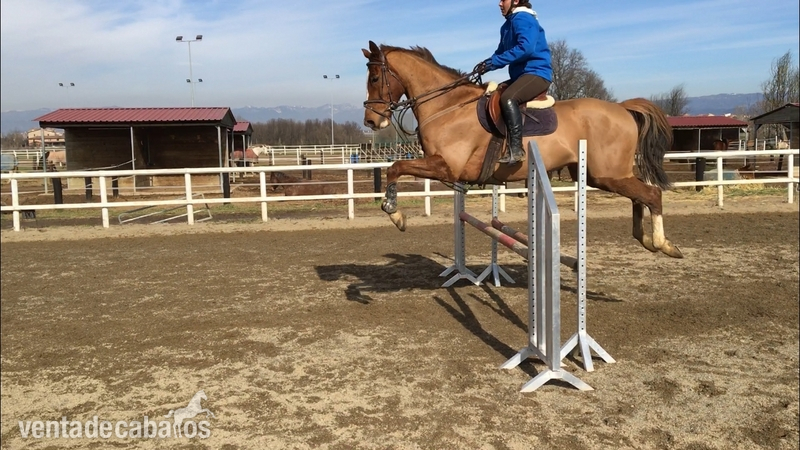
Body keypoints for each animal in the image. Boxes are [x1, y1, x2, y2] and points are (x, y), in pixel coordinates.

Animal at [362, 41, 682, 258]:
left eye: (375, 78)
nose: (371, 121)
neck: (447, 105)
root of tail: (623, 108)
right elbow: (395, 169)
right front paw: (395, 213)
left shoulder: (446, 167)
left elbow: (395, 168)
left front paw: (395, 214)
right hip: (602, 176)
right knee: (640, 196)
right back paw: (646, 239)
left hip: (607, 174)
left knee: (652, 194)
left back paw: (663, 244)